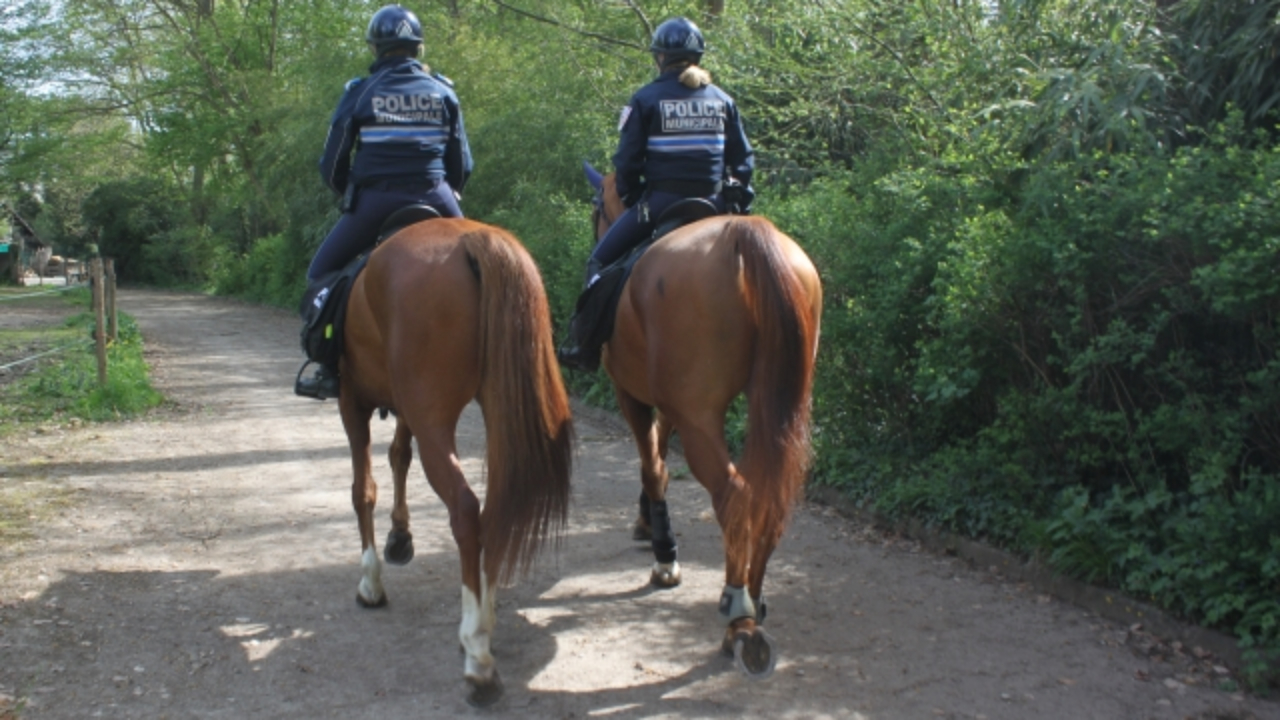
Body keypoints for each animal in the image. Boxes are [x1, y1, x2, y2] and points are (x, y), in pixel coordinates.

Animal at [336, 217, 573, 706]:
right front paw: (400, 536)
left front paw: (371, 582)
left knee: (465, 511)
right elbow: (398, 456)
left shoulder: (353, 400)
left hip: (431, 418)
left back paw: (477, 653)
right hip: (496, 408)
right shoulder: (403, 407)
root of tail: (471, 239)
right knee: (494, 511)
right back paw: (484, 621)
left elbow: (362, 490)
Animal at [582, 165, 822, 677]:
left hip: (699, 417)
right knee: (768, 497)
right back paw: (753, 601)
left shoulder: (633, 393)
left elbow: (652, 462)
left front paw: (664, 554)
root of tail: (741, 237)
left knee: (734, 495)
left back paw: (738, 618)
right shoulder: (673, 403)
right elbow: (657, 453)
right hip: (772, 407)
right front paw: (648, 522)